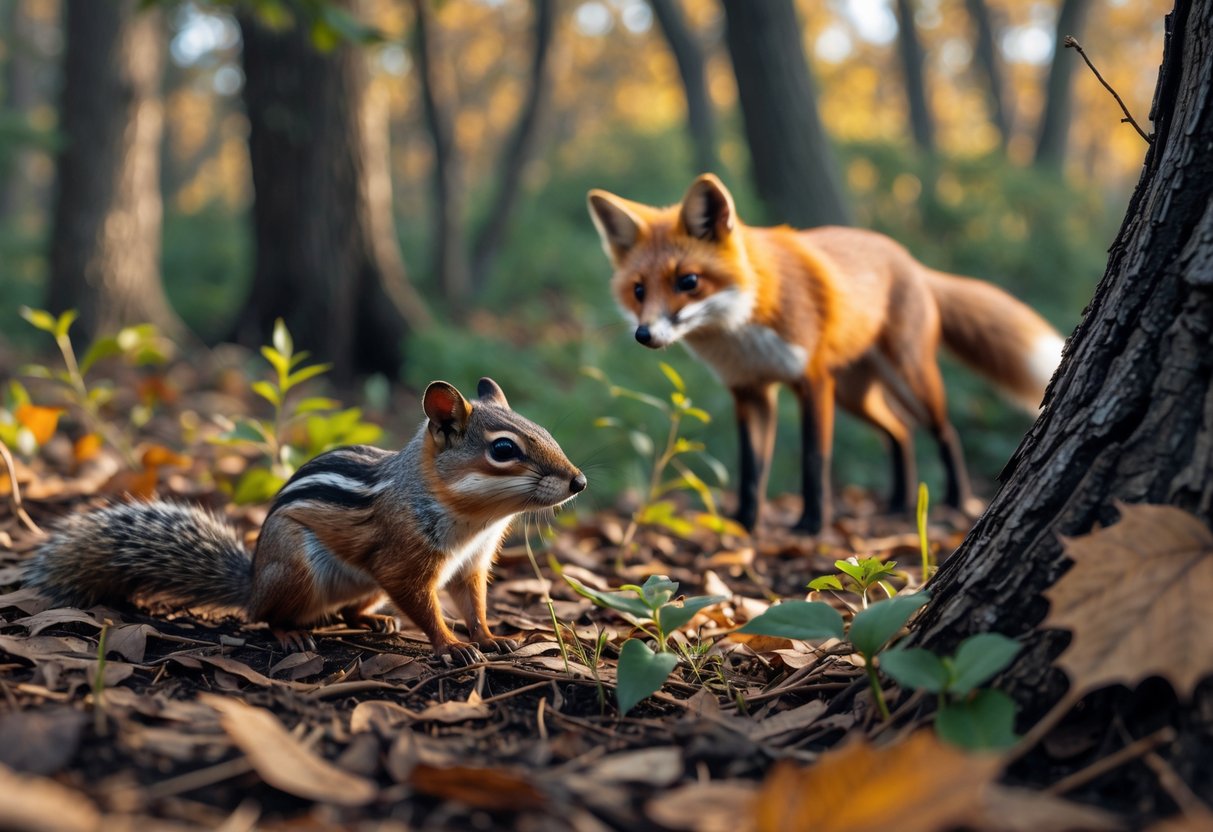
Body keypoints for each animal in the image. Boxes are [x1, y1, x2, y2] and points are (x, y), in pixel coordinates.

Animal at [24, 377, 587, 665]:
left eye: (543, 429)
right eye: (504, 450)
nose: (579, 481)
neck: (475, 521)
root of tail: (253, 582)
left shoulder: (471, 566)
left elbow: (474, 603)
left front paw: (490, 638)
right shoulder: (404, 561)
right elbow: (425, 606)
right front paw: (451, 645)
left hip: (363, 585)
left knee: (346, 611)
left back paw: (373, 621)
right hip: (296, 569)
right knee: (269, 616)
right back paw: (291, 635)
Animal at [587, 173, 1065, 534]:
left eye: (688, 281)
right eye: (638, 291)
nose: (645, 334)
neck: (743, 329)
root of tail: (909, 259)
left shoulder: (812, 381)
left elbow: (815, 460)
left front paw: (810, 526)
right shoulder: (750, 392)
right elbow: (750, 470)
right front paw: (743, 525)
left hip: (908, 378)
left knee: (944, 431)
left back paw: (956, 500)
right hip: (856, 396)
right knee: (901, 432)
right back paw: (899, 502)